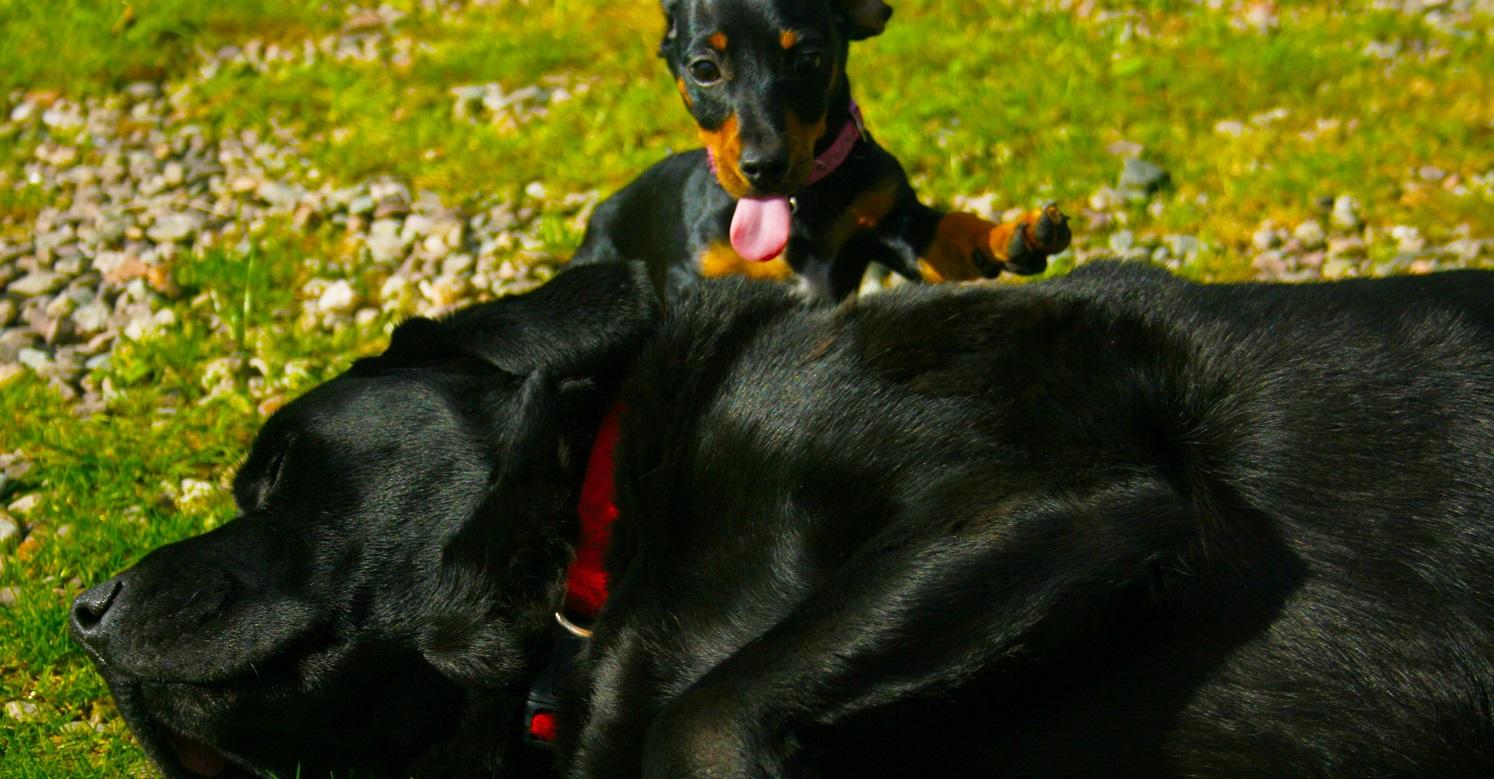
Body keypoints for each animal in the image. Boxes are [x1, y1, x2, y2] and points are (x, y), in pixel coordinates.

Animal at [570, 0, 1075, 300]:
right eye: (703, 69)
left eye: (809, 59)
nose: (764, 167)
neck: (799, 205)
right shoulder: (695, 278)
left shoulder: (896, 222)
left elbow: (951, 229)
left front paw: (1015, 233)